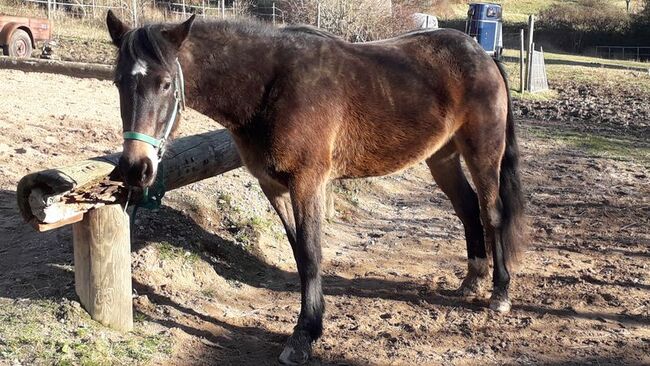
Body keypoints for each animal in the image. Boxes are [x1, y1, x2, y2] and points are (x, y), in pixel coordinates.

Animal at [105, 10, 520, 364]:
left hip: (483, 152)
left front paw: (304, 336)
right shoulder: (273, 186)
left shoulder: (308, 183)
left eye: (165, 84)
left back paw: (499, 293)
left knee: (491, 213)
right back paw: (473, 280)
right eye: (118, 82)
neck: (271, 87)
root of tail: (481, 54)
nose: (136, 168)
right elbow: (300, 255)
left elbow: (311, 252)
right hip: (442, 157)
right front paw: (308, 327)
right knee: (467, 209)